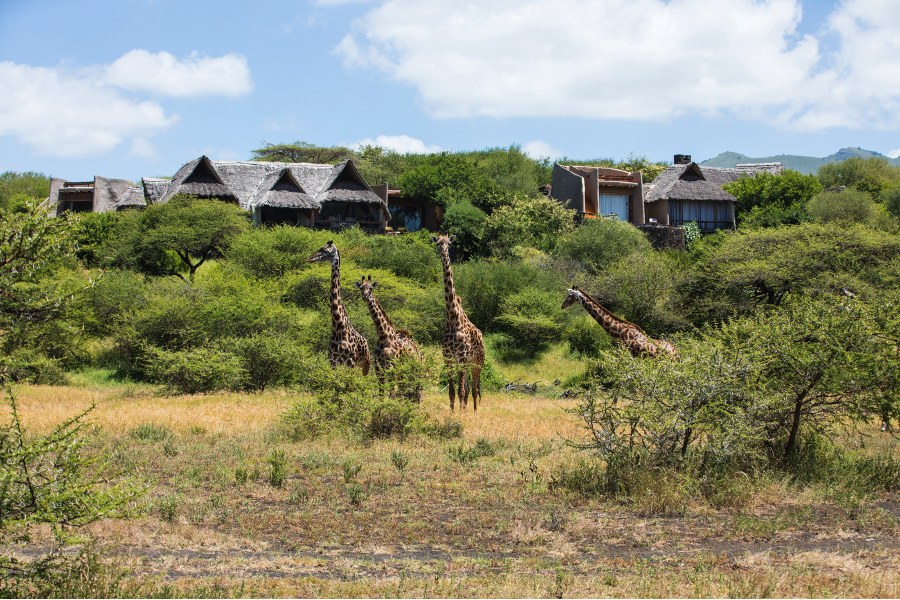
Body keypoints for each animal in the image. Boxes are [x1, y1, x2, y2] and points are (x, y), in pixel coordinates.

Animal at [306, 240, 371, 374]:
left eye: (325, 251)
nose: (309, 258)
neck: (339, 326)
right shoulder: (333, 362)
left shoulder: (350, 363)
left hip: (365, 366)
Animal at [432, 235, 485, 412]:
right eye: (438, 243)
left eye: (449, 243)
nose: (443, 252)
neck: (452, 317)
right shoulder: (448, 358)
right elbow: (451, 391)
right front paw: (452, 412)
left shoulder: (461, 357)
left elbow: (461, 390)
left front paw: (461, 414)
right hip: (468, 364)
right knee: (469, 388)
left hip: (477, 362)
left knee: (474, 389)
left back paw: (474, 413)